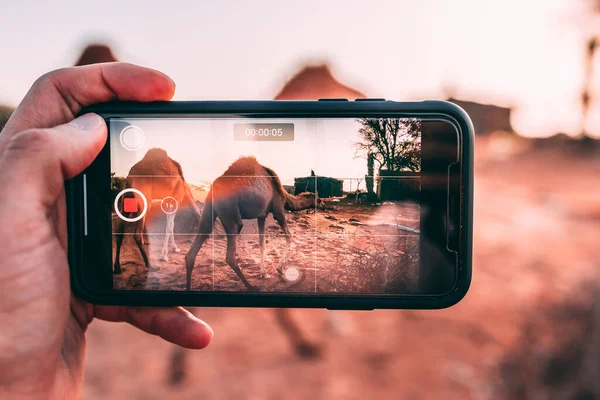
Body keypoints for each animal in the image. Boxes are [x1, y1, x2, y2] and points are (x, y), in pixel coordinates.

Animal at [115, 147, 202, 276]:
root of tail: (129, 178)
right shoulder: (174, 199)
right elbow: (169, 226)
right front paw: (165, 255)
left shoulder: (166, 201)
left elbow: (171, 225)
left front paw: (174, 248)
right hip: (144, 200)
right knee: (137, 234)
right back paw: (151, 266)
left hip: (125, 201)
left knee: (120, 232)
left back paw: (117, 268)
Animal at [185, 156, 324, 290]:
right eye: (319, 199)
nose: (323, 205)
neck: (284, 194)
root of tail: (214, 187)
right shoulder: (278, 211)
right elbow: (289, 236)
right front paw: (280, 269)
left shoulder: (261, 216)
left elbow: (261, 242)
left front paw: (264, 273)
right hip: (230, 211)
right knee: (230, 253)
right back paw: (251, 287)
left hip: (209, 210)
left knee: (195, 248)